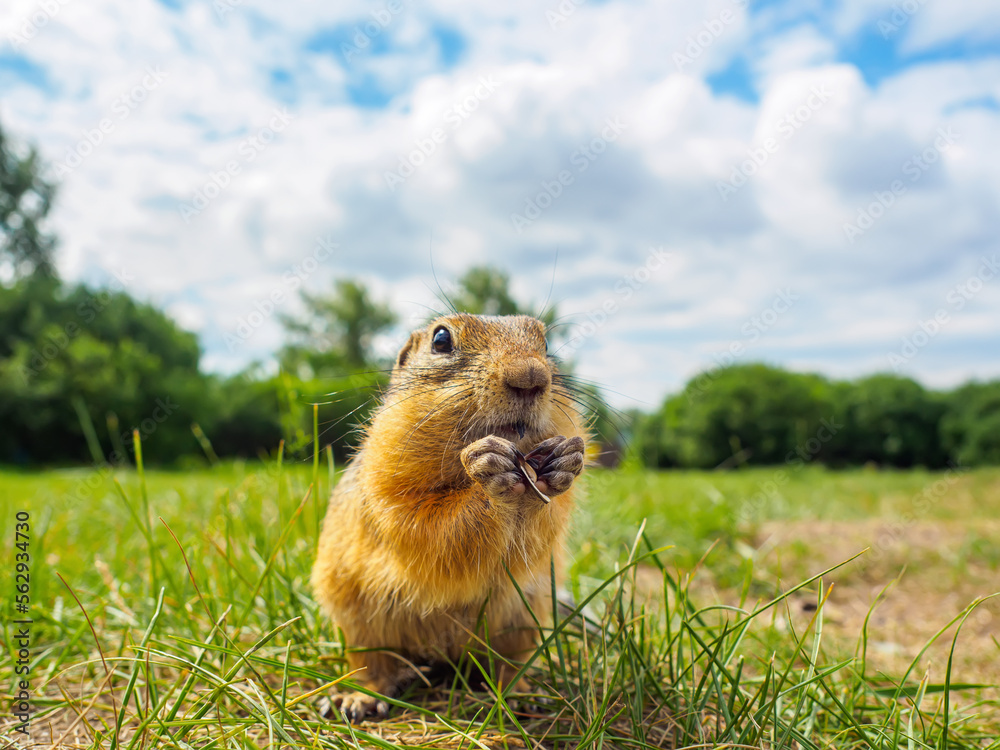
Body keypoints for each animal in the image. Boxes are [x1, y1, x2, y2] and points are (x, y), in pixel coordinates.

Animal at [310, 312, 584, 724]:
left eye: (545, 343)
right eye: (441, 339)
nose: (530, 376)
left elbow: (541, 533)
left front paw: (566, 460)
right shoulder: (387, 479)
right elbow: (427, 529)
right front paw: (487, 471)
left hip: (522, 620)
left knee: (506, 664)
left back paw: (521, 692)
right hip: (358, 622)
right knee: (374, 666)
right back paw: (358, 699)